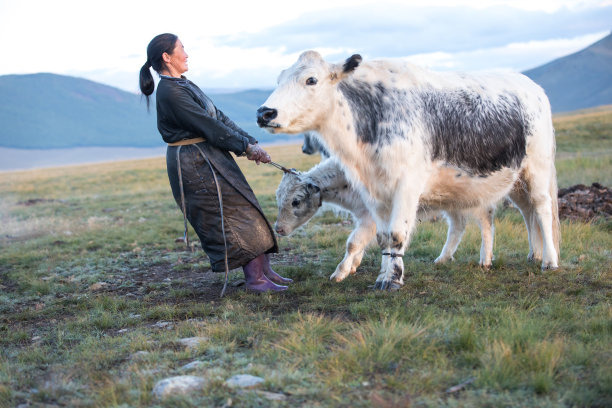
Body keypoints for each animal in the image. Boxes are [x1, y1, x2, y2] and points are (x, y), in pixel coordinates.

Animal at [278, 158, 498, 282]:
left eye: (295, 201)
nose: (278, 229)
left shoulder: (370, 218)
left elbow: (353, 243)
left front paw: (339, 273)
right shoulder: (365, 217)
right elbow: (363, 243)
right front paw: (355, 266)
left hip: (477, 200)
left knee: (486, 222)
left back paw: (485, 261)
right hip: (452, 204)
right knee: (458, 226)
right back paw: (443, 258)